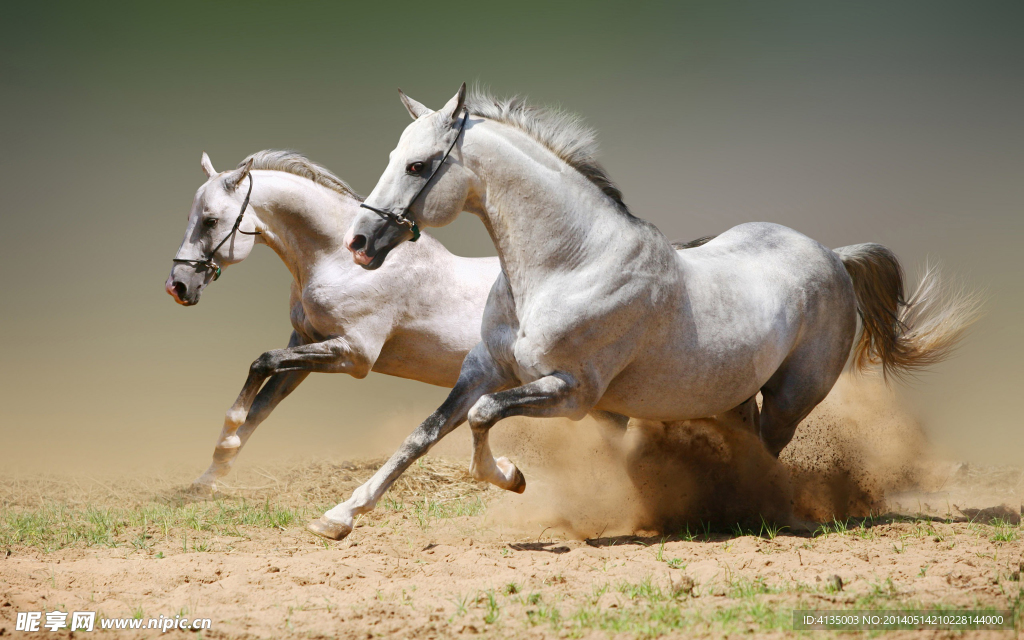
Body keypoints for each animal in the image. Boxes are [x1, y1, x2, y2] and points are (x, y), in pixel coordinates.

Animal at [310, 84, 978, 541]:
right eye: (395, 155)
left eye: (418, 165)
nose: (360, 243)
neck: (568, 264)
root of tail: (833, 256)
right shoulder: (484, 369)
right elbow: (423, 435)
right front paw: (338, 517)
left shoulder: (572, 392)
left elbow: (481, 418)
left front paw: (513, 477)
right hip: (734, 396)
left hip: (792, 396)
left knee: (769, 453)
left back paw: (761, 512)